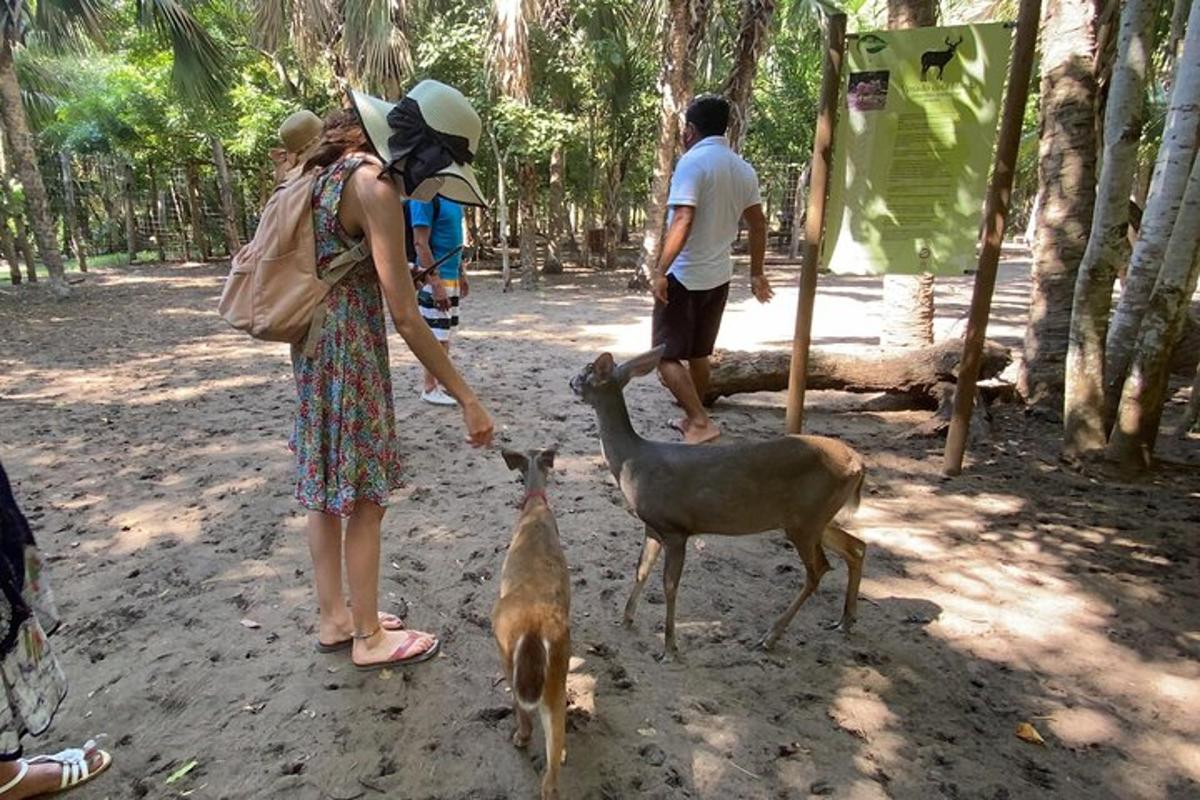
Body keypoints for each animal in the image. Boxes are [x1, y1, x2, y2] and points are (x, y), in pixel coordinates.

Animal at [568, 347, 864, 662]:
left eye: (587, 371)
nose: (570, 382)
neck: (632, 464)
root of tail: (859, 463)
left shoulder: (675, 528)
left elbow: (669, 585)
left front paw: (669, 647)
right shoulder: (653, 526)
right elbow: (641, 569)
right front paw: (626, 619)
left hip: (807, 518)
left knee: (819, 569)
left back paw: (770, 637)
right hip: (812, 516)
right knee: (856, 547)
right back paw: (845, 621)